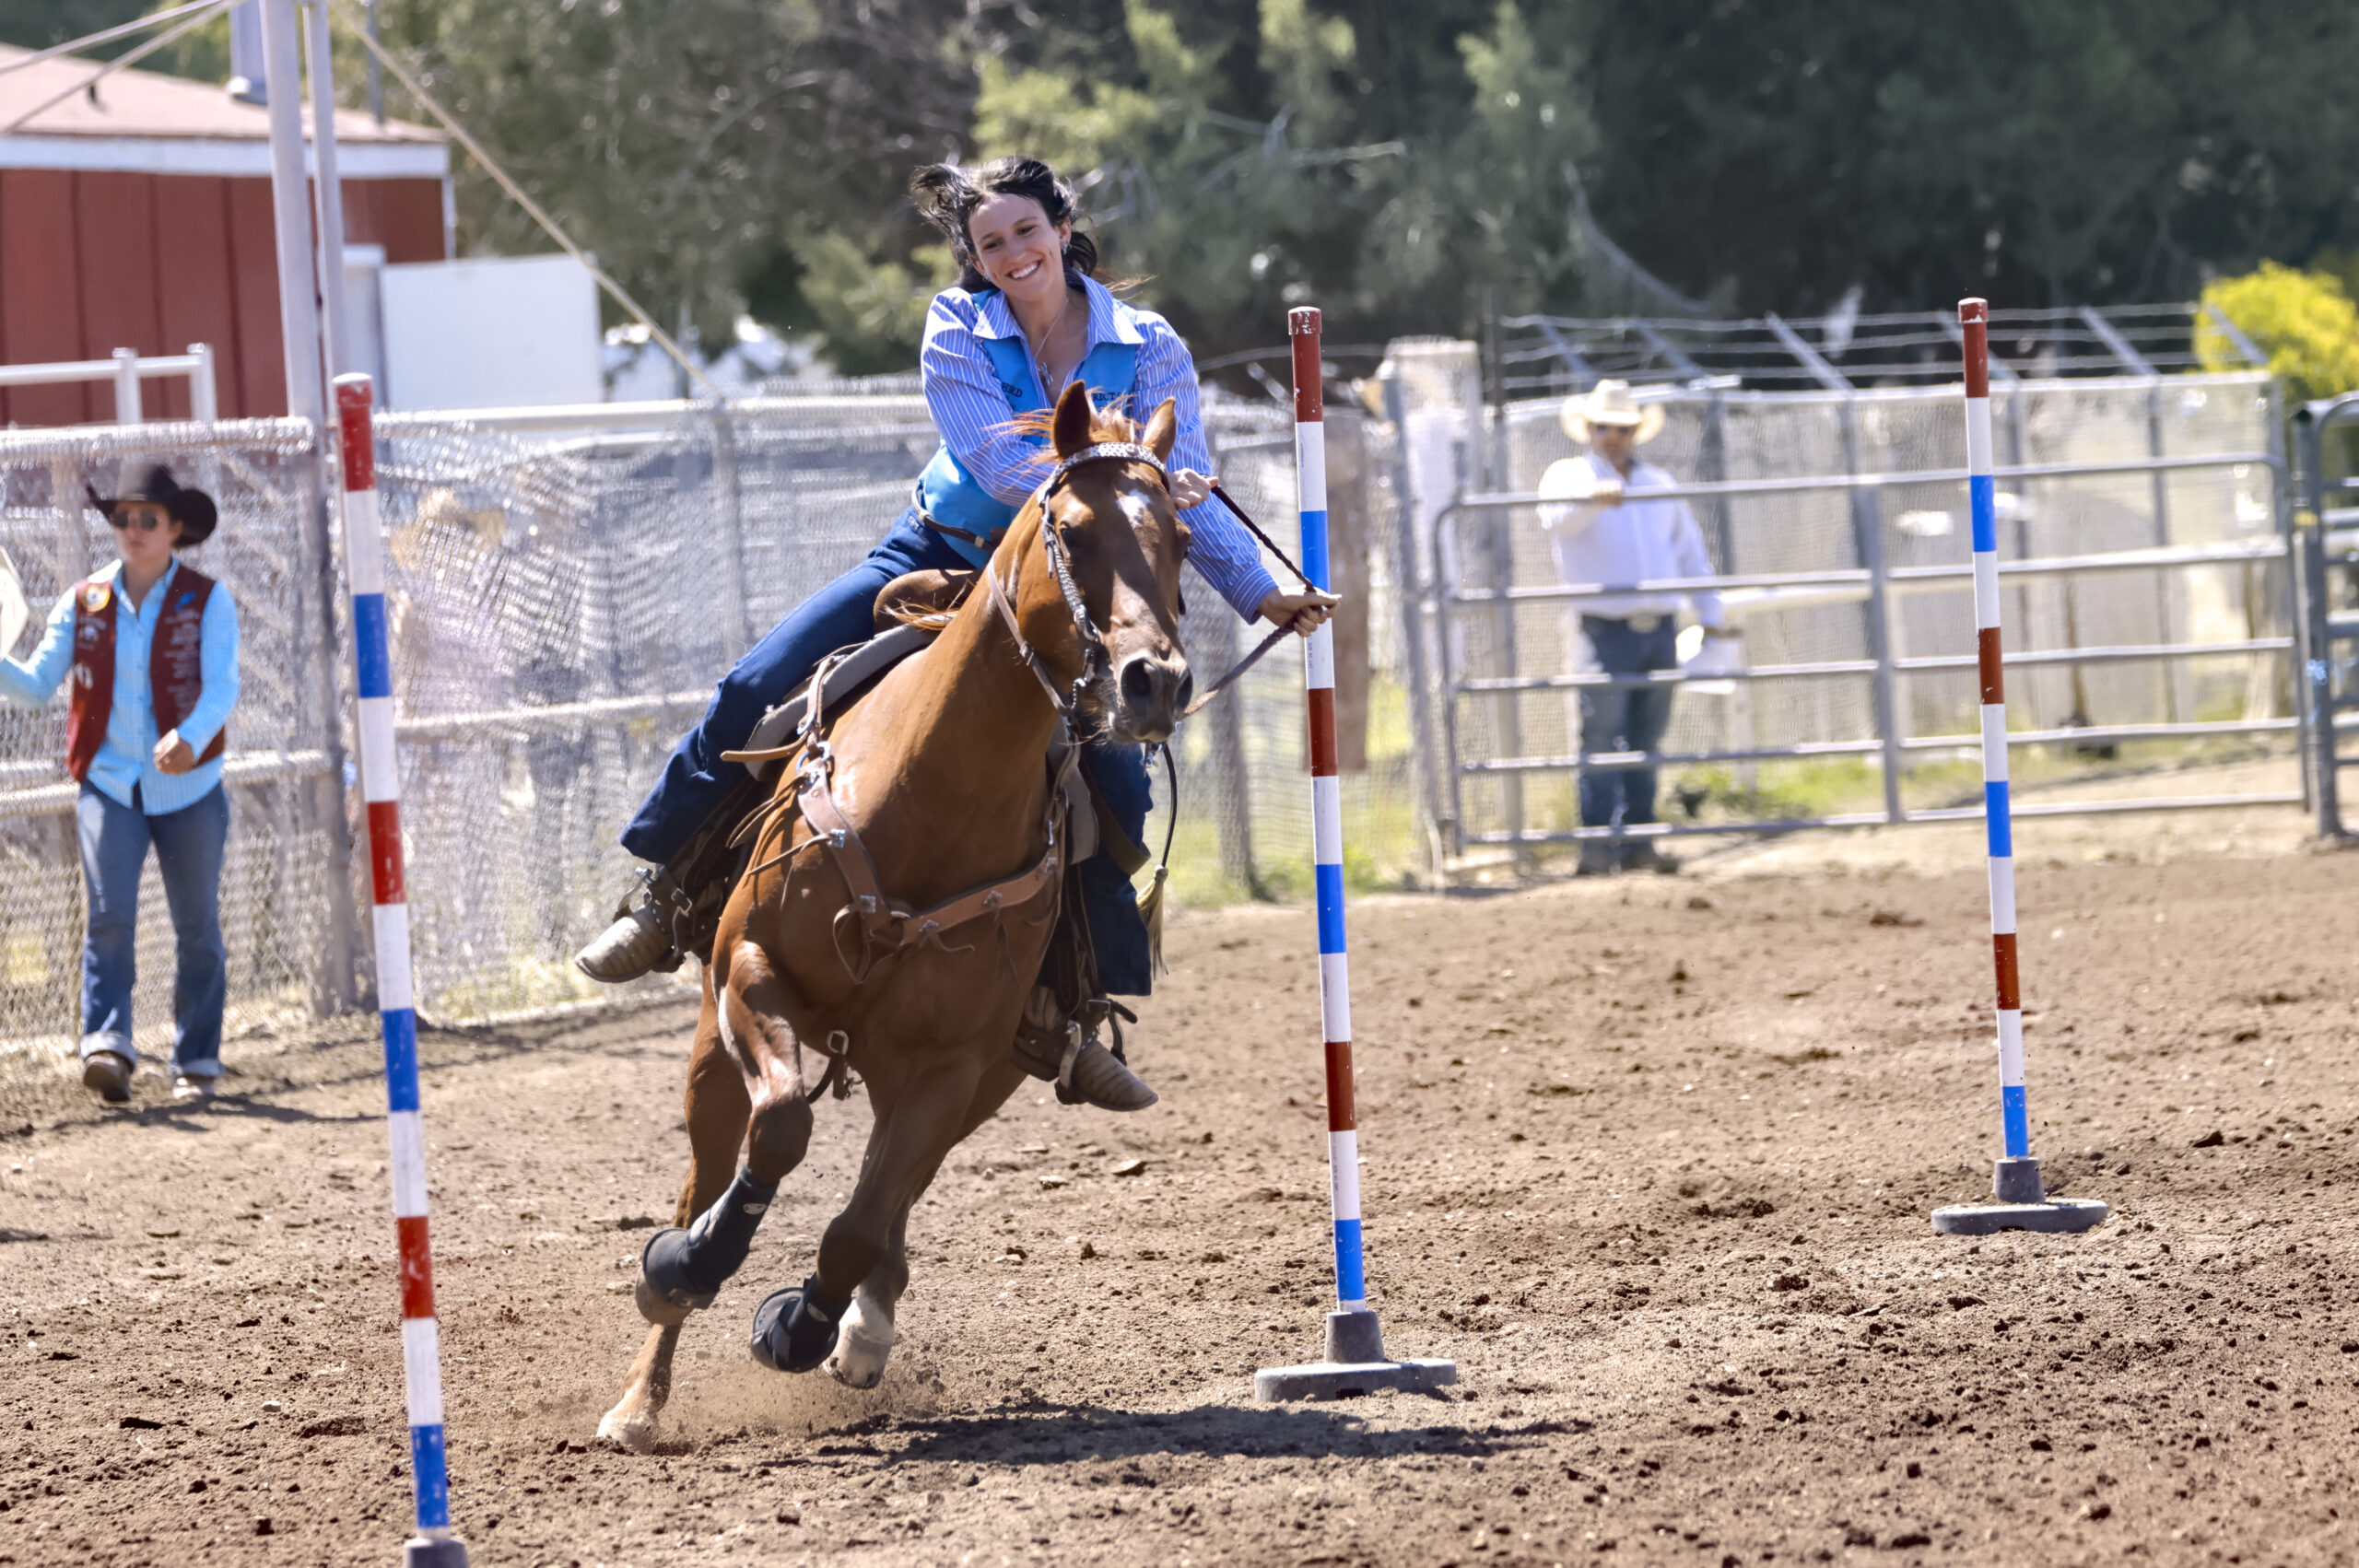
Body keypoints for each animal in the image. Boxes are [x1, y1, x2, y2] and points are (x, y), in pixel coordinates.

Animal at [599, 380, 1198, 1443]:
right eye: (1073, 530)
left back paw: (864, 1332)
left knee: (892, 1208)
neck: (931, 797)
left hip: (975, 1079)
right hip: (713, 1045)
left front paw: (800, 1324)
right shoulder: (750, 973)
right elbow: (780, 1128)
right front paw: (692, 1264)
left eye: (1181, 536)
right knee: (707, 1170)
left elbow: (856, 1227)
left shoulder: (951, 1066)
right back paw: (642, 1387)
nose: (1154, 681)